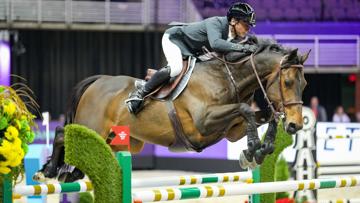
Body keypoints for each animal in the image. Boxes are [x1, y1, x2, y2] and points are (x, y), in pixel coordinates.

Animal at [34, 38, 310, 182]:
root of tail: (98, 81)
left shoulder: (230, 130)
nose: (295, 124)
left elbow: (263, 116)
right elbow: (246, 109)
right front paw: (253, 149)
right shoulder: (203, 123)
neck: (227, 76)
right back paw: (47, 171)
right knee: (61, 133)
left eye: (304, 84)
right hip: (90, 125)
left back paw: (72, 173)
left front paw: (261, 150)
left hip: (115, 138)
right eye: (287, 82)